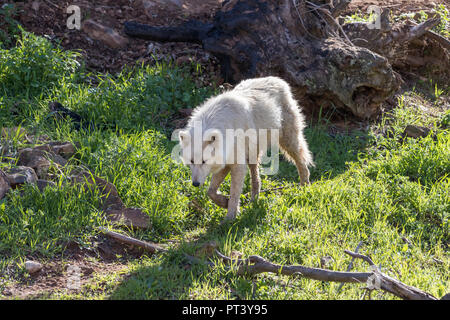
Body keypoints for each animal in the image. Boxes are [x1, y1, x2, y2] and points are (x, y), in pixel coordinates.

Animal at [178, 75, 312, 220]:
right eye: (191, 161)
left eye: (204, 161)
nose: (195, 184)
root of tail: (277, 79)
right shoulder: (226, 162)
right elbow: (211, 192)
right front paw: (224, 203)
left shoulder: (237, 165)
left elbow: (234, 193)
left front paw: (230, 218)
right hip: (253, 154)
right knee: (256, 178)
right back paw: (254, 200)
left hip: (288, 142)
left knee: (302, 163)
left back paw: (304, 187)